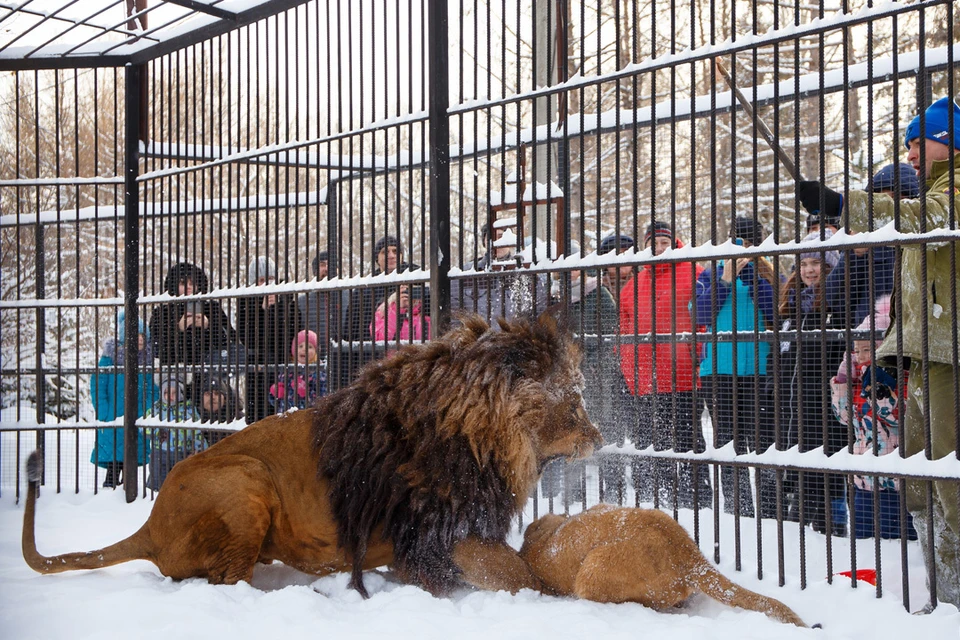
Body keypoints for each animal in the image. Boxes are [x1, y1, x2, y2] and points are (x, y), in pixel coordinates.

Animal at [22, 312, 600, 596]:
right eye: (574, 400)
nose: (597, 436)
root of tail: (151, 524)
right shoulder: (439, 535)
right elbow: (525, 579)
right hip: (247, 478)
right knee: (224, 582)